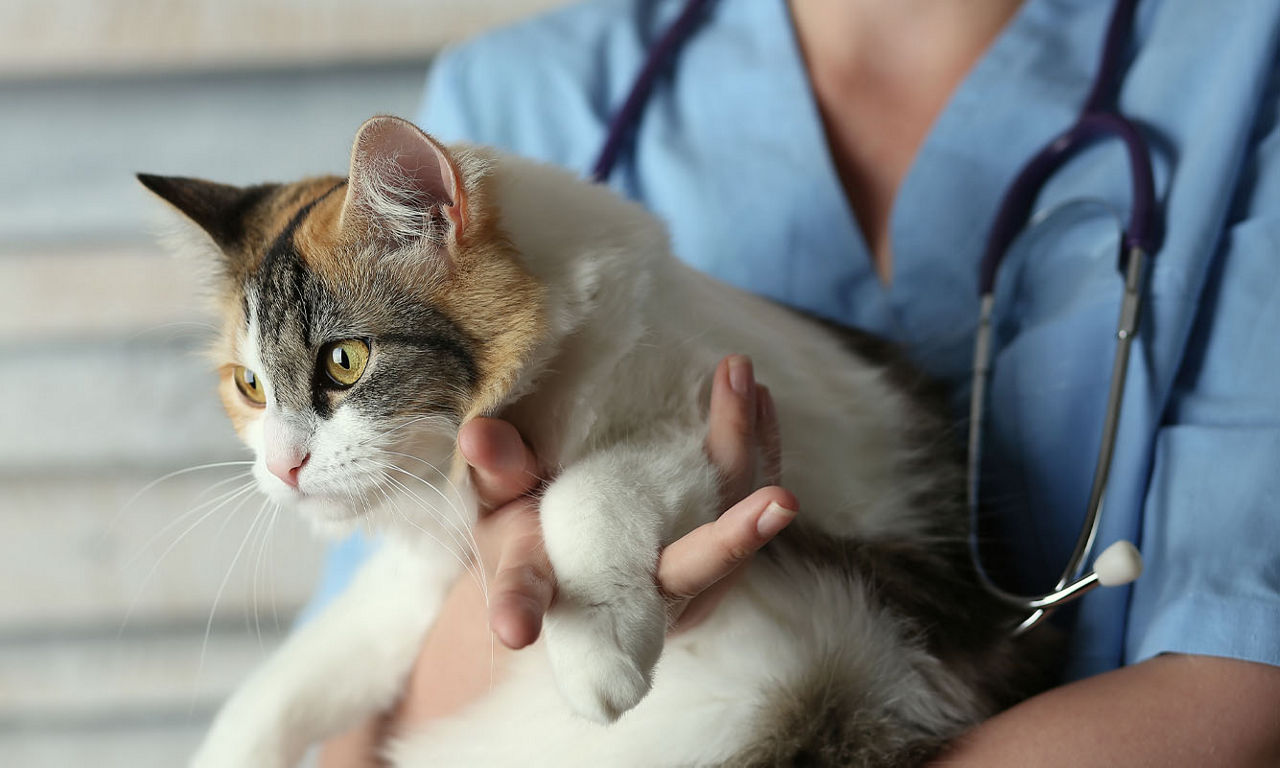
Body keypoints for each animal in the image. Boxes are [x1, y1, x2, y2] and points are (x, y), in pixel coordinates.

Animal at [140, 115, 1054, 768]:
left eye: (345, 360)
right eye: (249, 386)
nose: (282, 466)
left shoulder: (729, 425)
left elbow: (585, 493)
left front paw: (599, 657)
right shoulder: (423, 580)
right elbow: (293, 676)